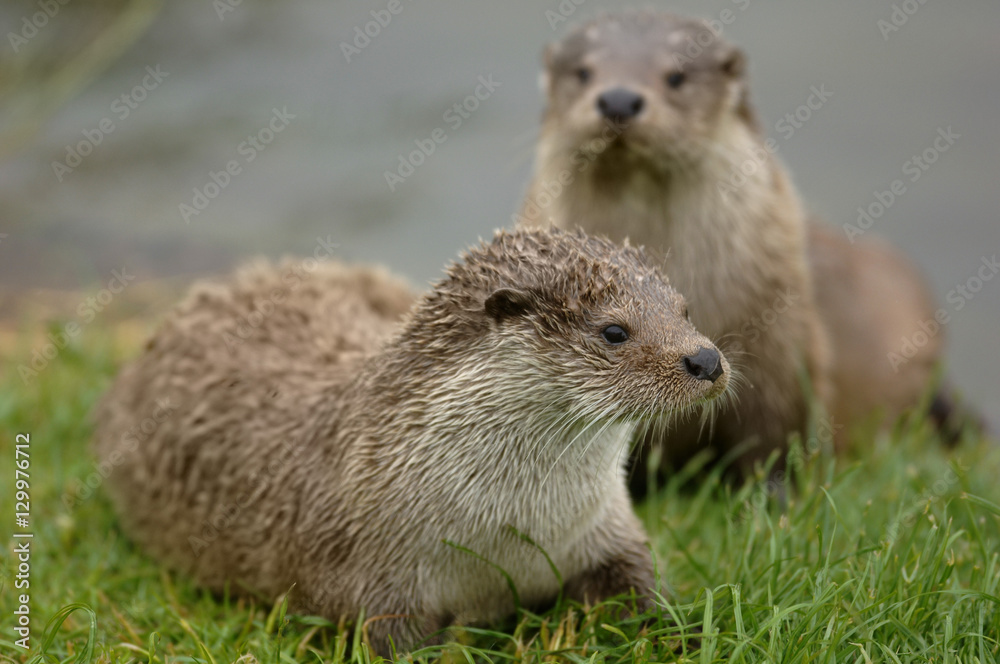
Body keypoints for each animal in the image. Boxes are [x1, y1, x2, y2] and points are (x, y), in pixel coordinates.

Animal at [94, 228, 730, 656]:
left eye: (684, 310)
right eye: (614, 331)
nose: (706, 358)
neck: (513, 531)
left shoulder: (607, 529)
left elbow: (641, 590)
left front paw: (679, 636)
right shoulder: (371, 582)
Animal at [518, 11, 943, 473]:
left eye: (676, 76)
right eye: (583, 72)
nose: (618, 98)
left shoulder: (780, 334)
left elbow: (775, 432)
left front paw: (774, 485)